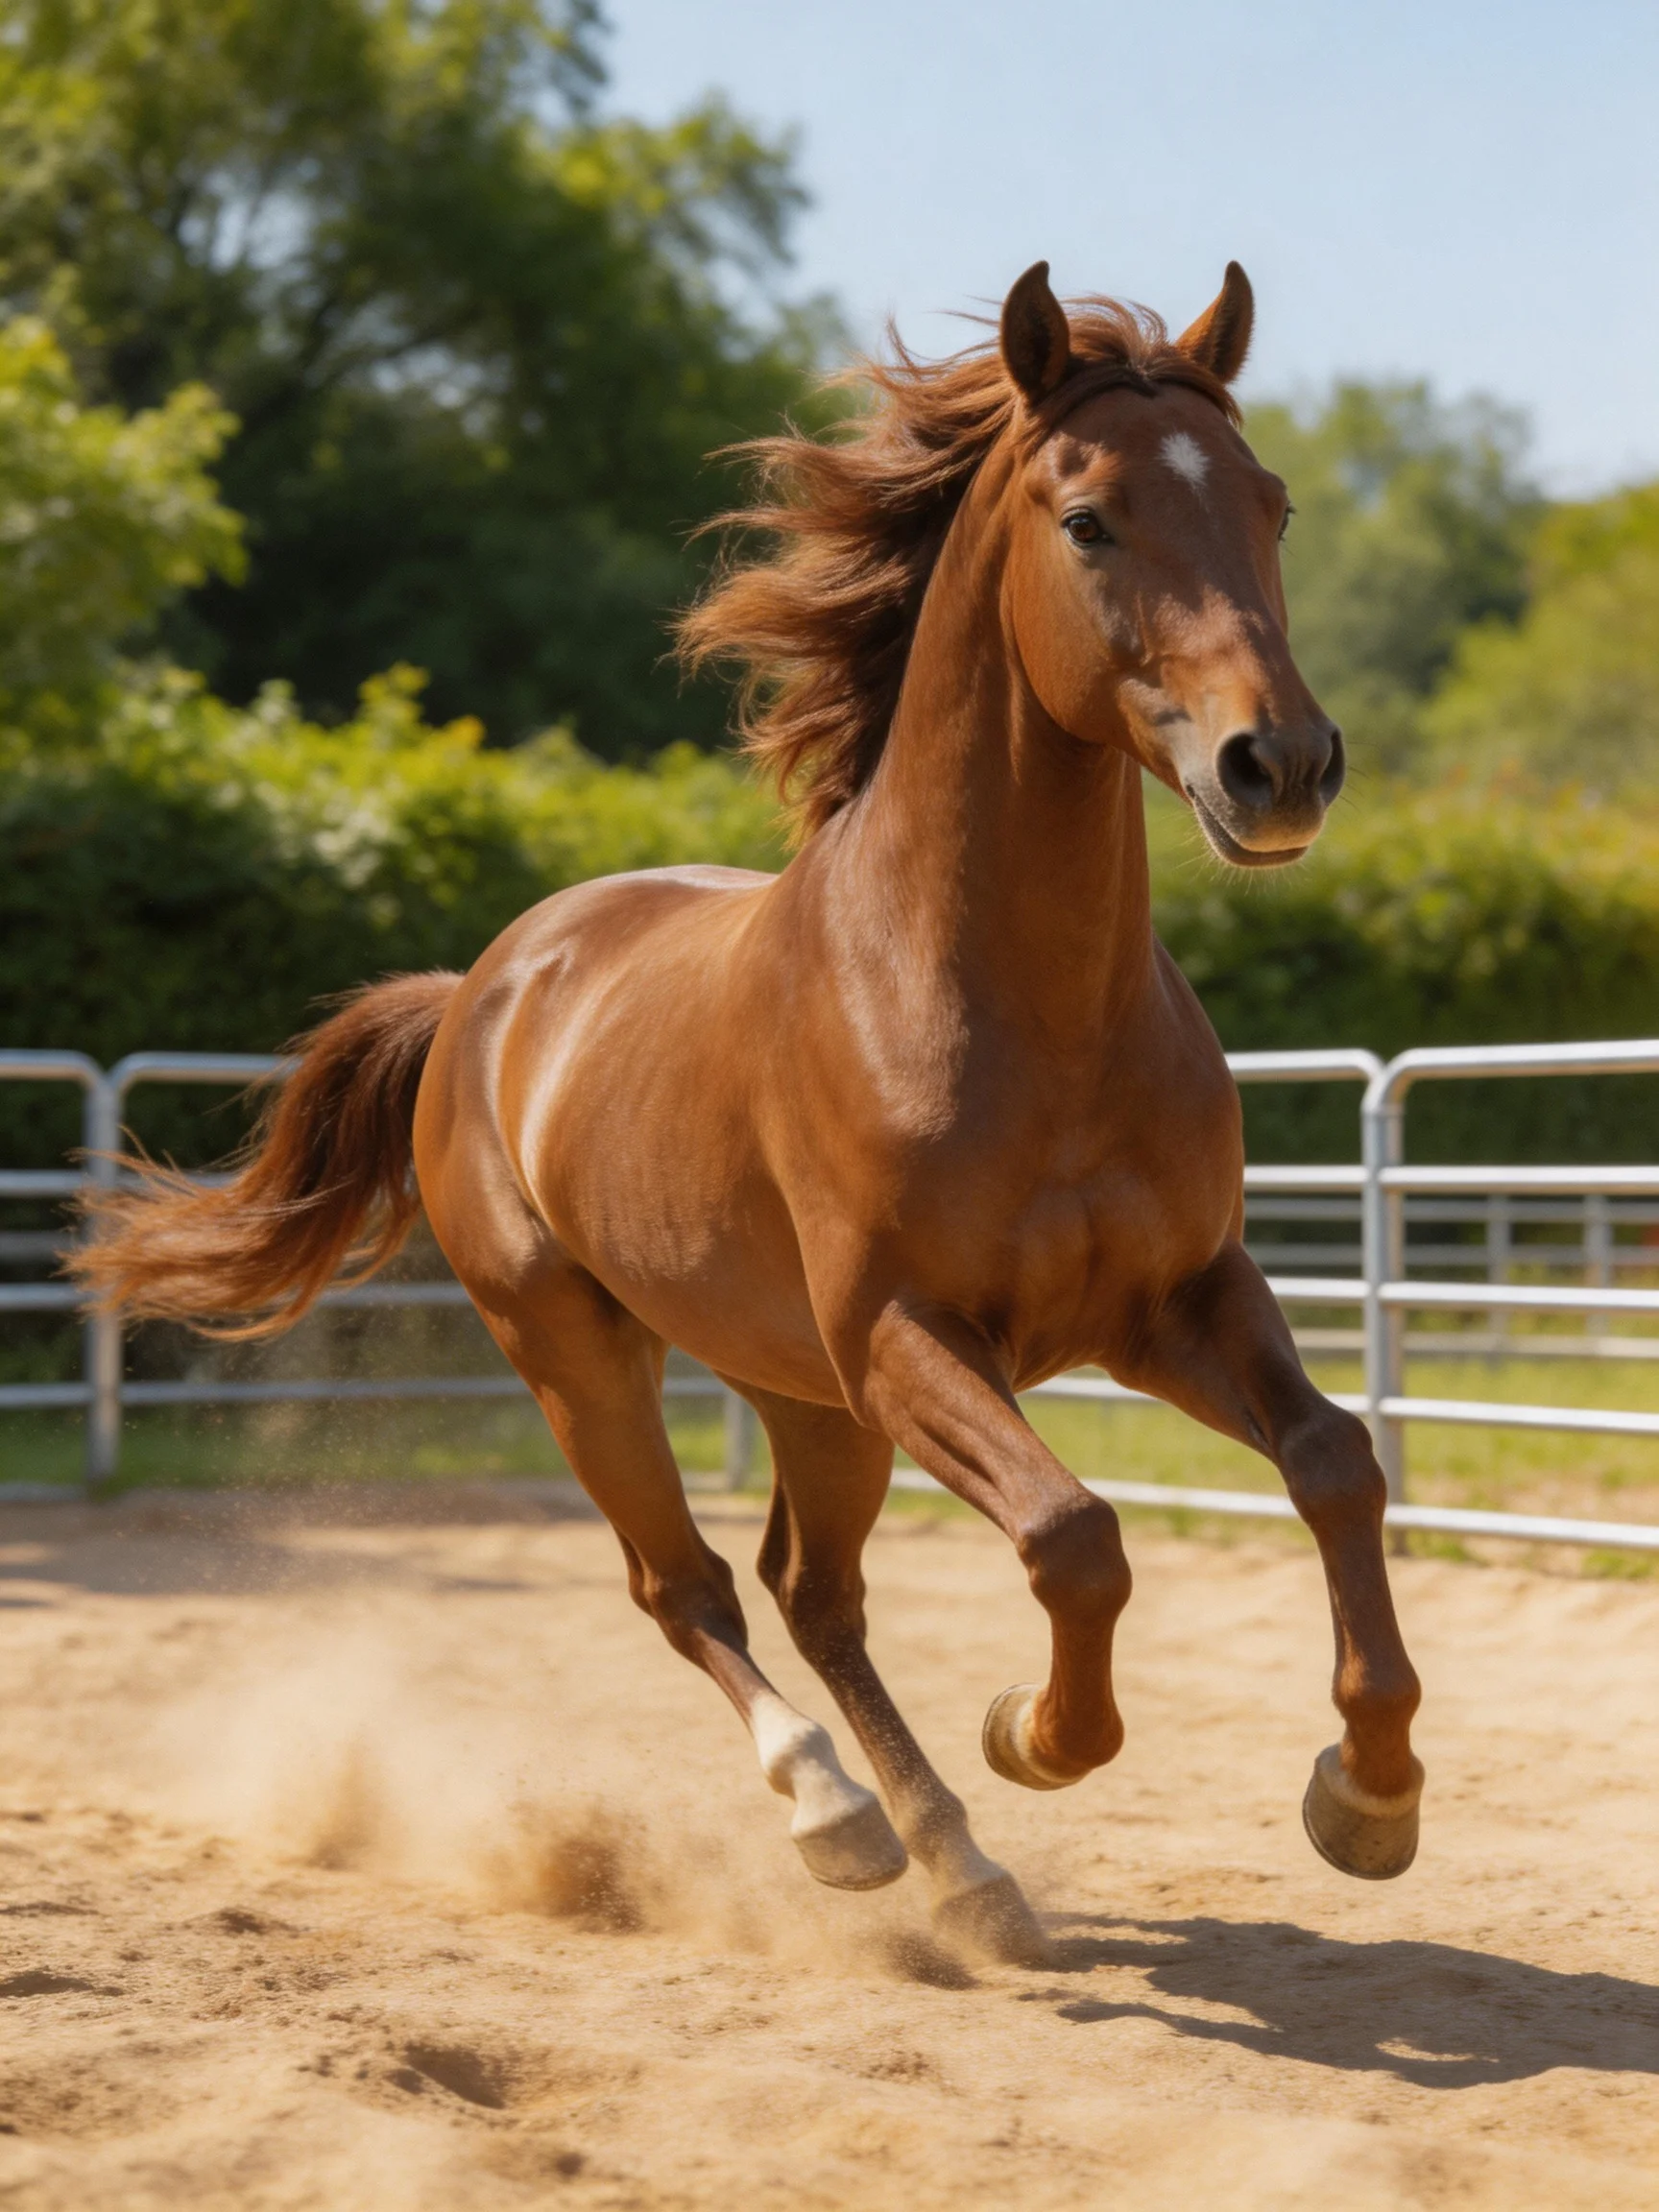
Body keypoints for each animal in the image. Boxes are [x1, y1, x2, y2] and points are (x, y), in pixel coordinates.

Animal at [77, 261, 1423, 1966]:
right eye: (1090, 519)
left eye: (1272, 503)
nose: (1282, 765)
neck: (1017, 1013)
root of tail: (483, 989)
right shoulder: (911, 1337)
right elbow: (1074, 1538)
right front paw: (1035, 1734)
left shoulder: (1175, 1302)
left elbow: (1335, 1463)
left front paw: (1367, 1796)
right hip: (586, 1357)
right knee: (692, 1588)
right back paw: (840, 1818)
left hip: (804, 1395)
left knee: (812, 1592)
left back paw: (962, 1868)